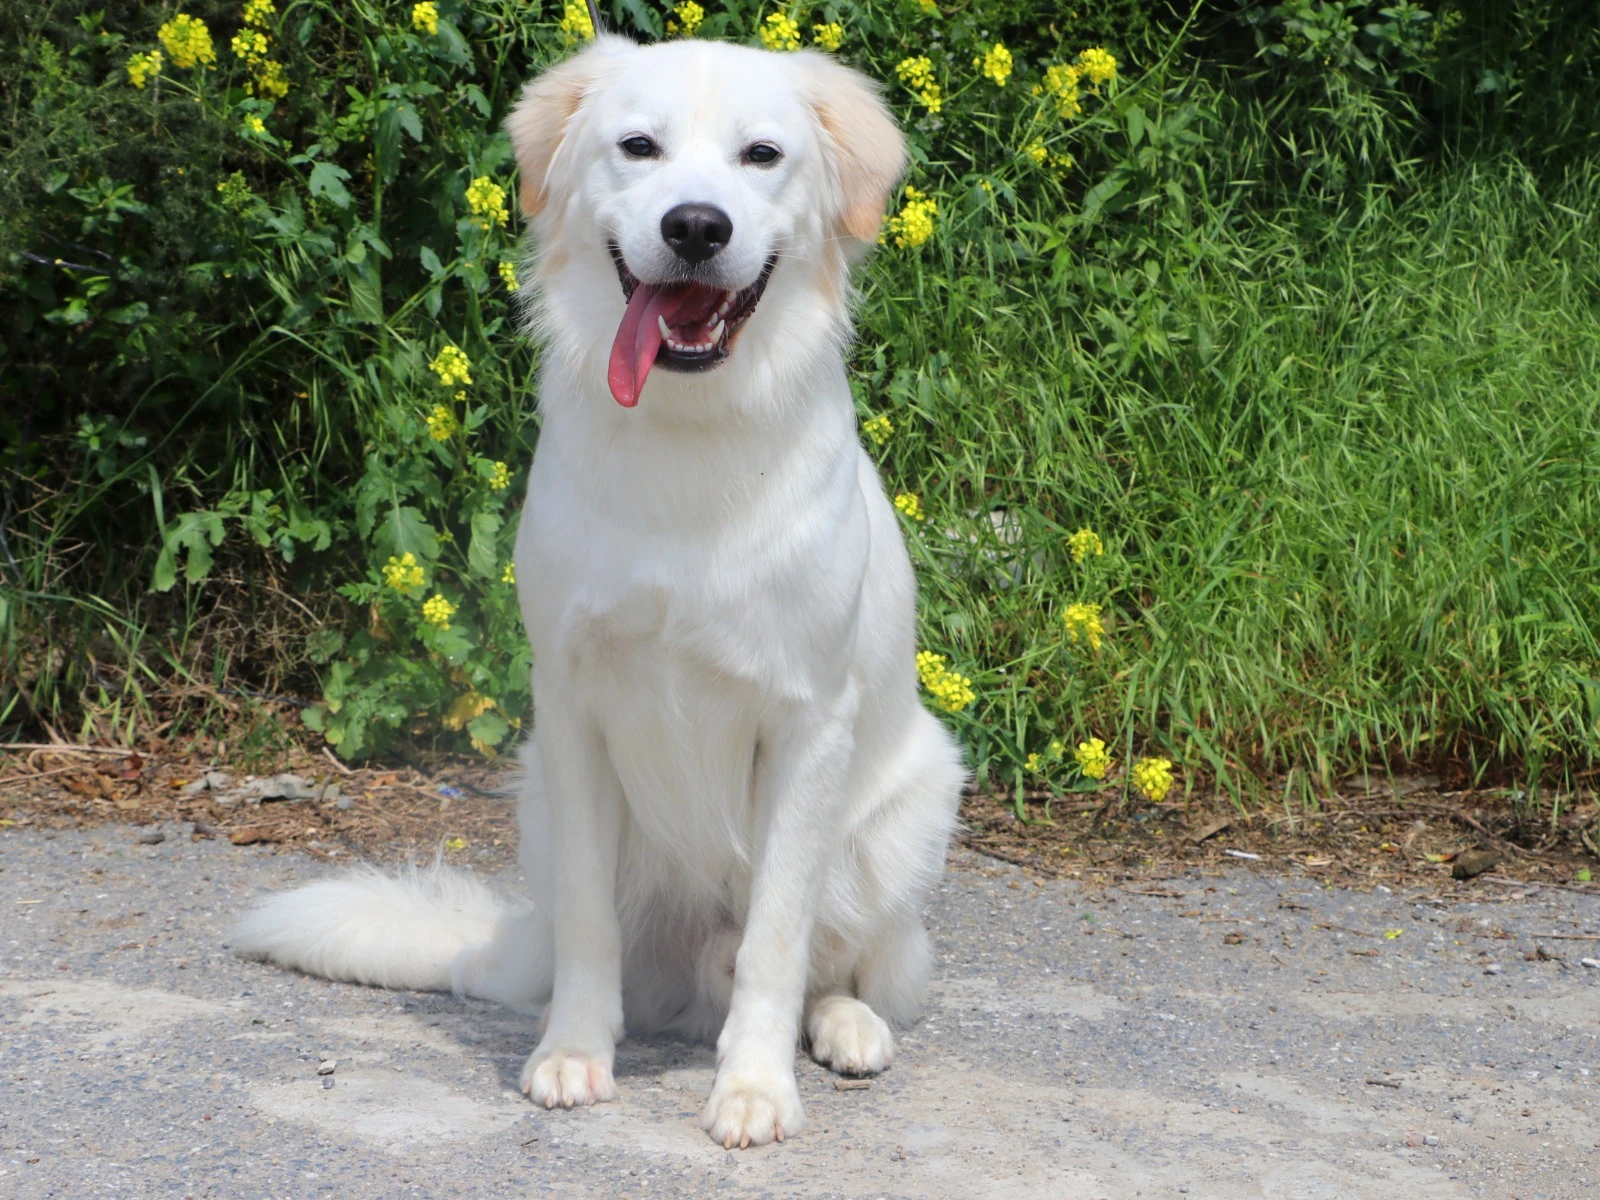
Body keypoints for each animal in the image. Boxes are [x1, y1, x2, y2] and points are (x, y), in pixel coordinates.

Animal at [233, 32, 960, 1152]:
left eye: (761, 155)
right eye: (639, 147)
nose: (696, 226)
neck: (685, 435)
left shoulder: (805, 727)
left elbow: (777, 939)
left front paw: (754, 1088)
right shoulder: (571, 710)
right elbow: (587, 923)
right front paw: (573, 1055)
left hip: (913, 803)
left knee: (846, 964)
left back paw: (846, 1027)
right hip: (541, 802)